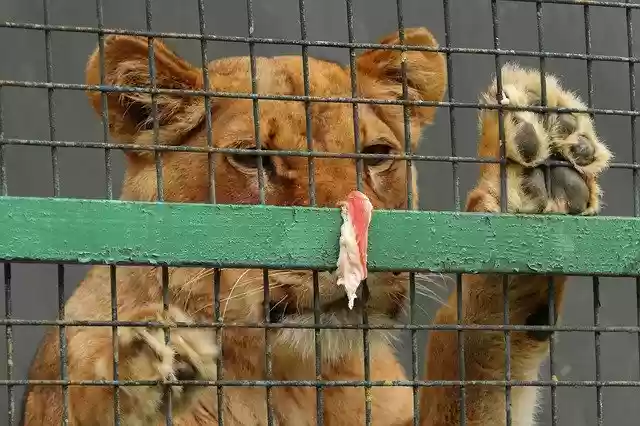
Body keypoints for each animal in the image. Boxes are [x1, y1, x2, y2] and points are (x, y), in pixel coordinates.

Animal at [21, 27, 611, 425]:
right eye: (253, 159)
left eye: (377, 155)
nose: (359, 258)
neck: (294, 383)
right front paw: (147, 365)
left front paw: (530, 187)